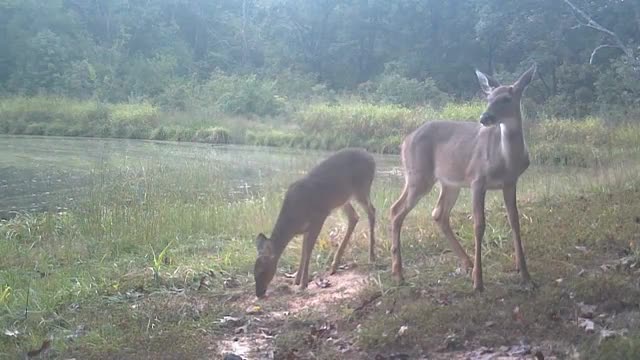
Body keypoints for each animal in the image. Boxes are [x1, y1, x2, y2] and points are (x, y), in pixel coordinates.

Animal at [254, 148, 376, 296]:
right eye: (253, 270)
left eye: (262, 270)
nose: (259, 293)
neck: (293, 220)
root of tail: (371, 158)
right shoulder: (306, 227)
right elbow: (303, 250)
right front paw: (296, 280)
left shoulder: (318, 217)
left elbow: (308, 250)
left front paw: (303, 284)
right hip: (342, 198)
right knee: (354, 217)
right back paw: (335, 265)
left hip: (361, 189)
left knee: (372, 211)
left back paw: (371, 257)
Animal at [390, 64, 536, 290]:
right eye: (488, 97)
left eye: (506, 99)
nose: (484, 118)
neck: (506, 160)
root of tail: (404, 141)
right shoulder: (477, 179)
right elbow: (479, 224)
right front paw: (479, 282)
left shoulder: (510, 182)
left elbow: (515, 221)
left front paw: (526, 276)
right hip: (419, 175)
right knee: (396, 211)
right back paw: (398, 273)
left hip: (449, 183)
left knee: (438, 213)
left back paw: (467, 264)